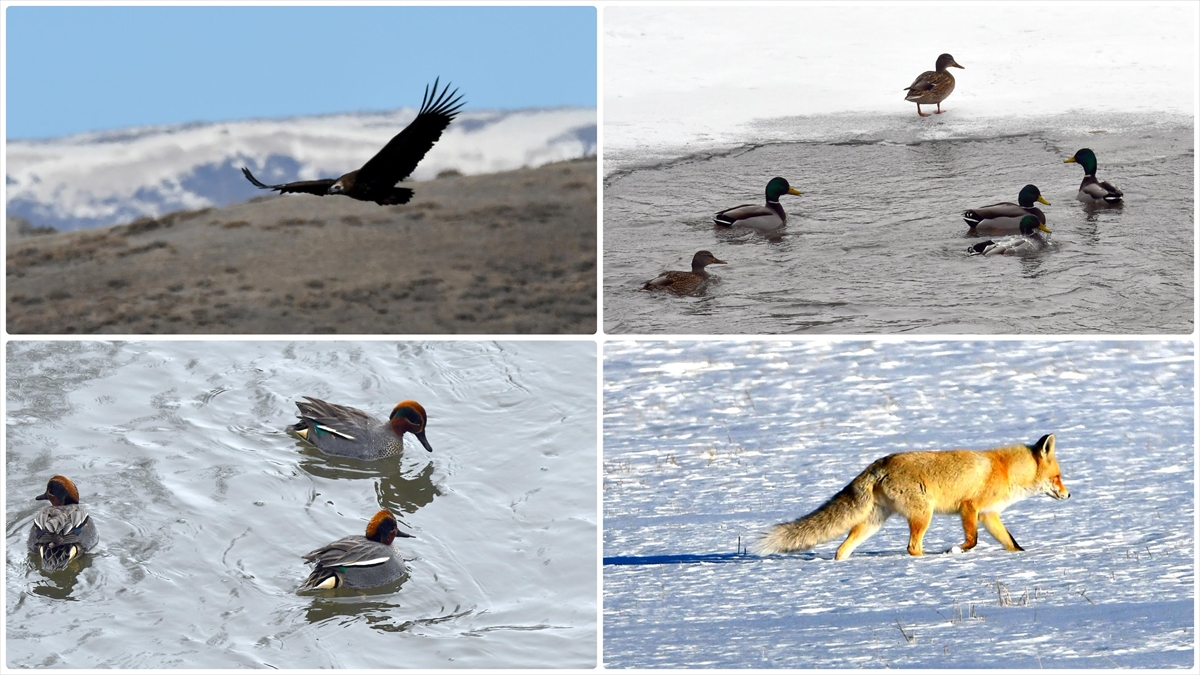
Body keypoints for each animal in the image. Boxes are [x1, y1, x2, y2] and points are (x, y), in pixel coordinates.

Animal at [753, 429, 1075, 557]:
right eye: (1058, 477)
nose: (1069, 495)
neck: (1006, 470)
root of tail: (879, 463)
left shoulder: (989, 514)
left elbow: (1011, 542)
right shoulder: (969, 507)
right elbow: (972, 540)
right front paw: (956, 551)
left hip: (873, 522)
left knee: (842, 549)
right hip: (923, 514)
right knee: (912, 547)